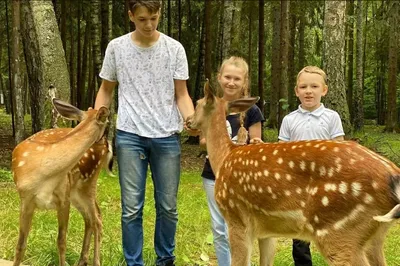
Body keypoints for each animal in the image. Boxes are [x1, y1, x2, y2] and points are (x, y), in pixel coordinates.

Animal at [11, 99, 111, 266]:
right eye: (107, 124)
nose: (107, 142)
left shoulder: (63, 198)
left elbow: (61, 241)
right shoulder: (25, 199)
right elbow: (20, 245)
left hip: (88, 183)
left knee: (96, 219)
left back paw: (95, 262)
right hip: (77, 191)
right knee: (90, 218)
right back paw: (82, 260)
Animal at [186, 81, 400, 266]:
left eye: (197, 103)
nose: (188, 120)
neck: (223, 157)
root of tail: (392, 173)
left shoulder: (236, 217)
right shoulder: (266, 230)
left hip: (337, 230)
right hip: (374, 236)